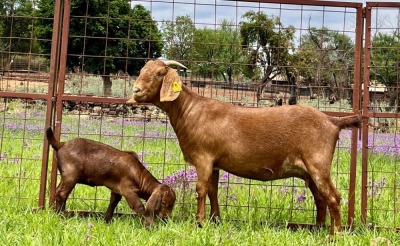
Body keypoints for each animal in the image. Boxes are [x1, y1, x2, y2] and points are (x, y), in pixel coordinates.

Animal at [45, 128, 175, 226]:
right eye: (164, 203)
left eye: (172, 204)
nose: (166, 218)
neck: (138, 174)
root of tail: (62, 144)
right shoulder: (127, 189)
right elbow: (139, 206)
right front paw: (148, 225)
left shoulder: (116, 190)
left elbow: (113, 203)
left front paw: (106, 221)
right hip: (71, 175)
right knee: (62, 194)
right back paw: (61, 216)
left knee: (59, 192)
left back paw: (56, 213)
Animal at [128, 59, 362, 234]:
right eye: (141, 71)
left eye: (159, 73)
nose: (136, 90)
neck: (190, 110)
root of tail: (332, 121)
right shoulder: (214, 163)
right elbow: (213, 190)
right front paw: (215, 220)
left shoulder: (204, 158)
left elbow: (201, 189)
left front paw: (199, 222)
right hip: (309, 171)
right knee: (320, 198)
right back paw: (319, 229)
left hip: (318, 164)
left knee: (333, 197)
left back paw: (335, 234)